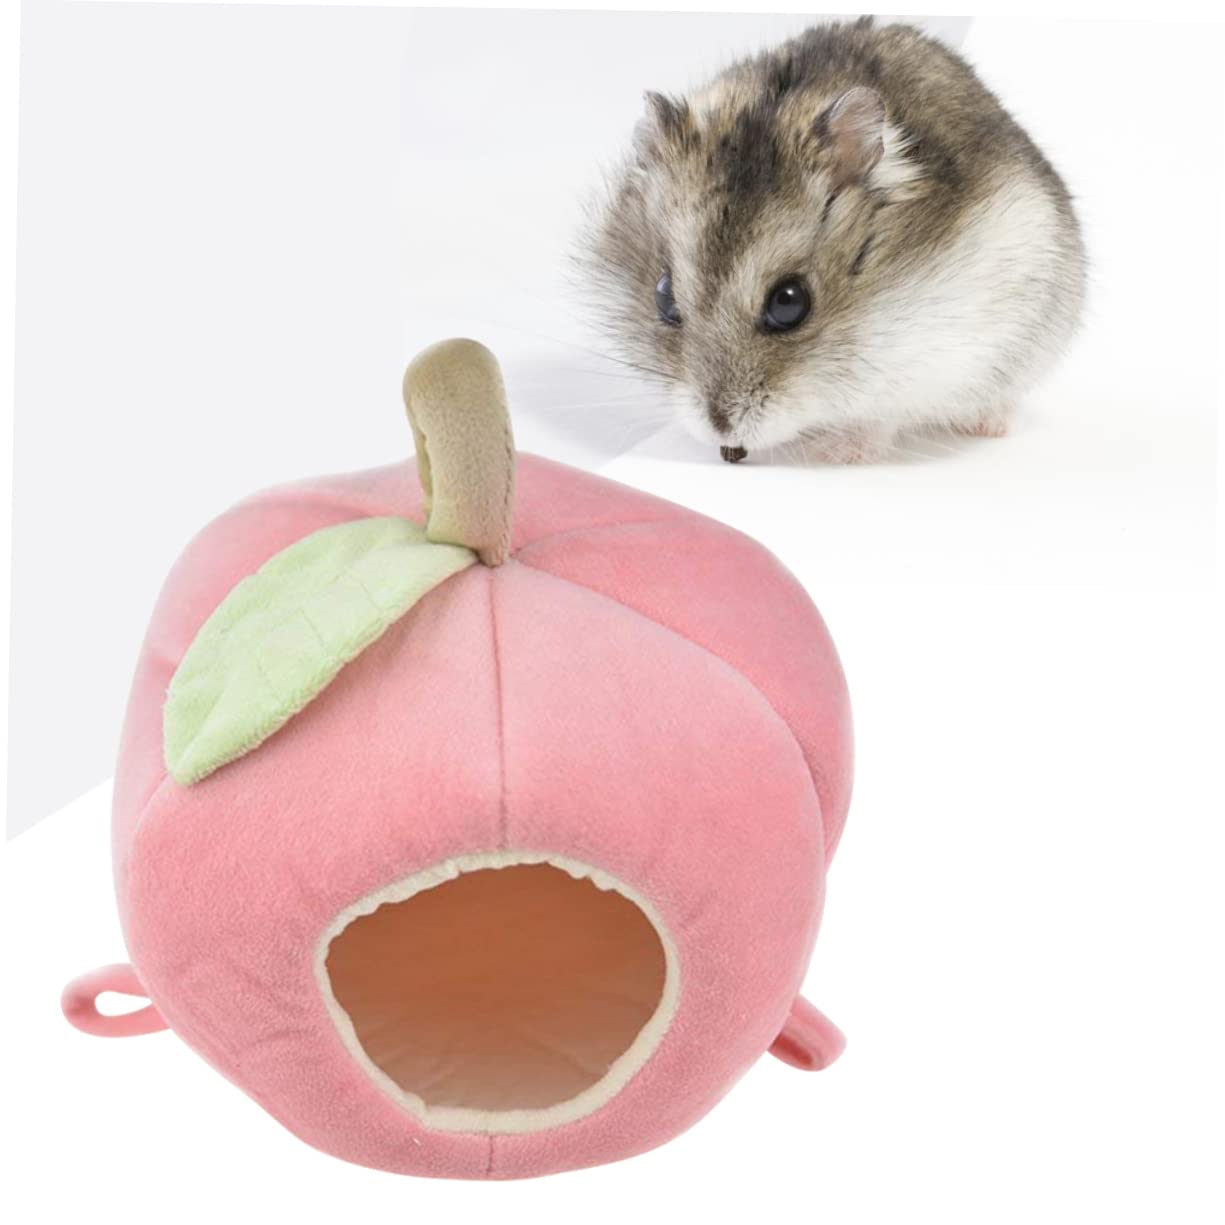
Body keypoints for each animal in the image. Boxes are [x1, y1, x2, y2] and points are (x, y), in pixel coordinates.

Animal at [581, 18, 1086, 463]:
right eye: (663, 296)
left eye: (789, 303)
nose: (723, 435)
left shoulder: (934, 359)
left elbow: (878, 416)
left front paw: (833, 453)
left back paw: (986, 424)